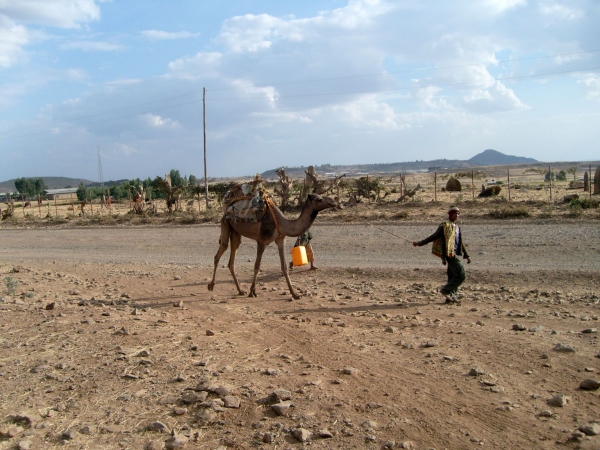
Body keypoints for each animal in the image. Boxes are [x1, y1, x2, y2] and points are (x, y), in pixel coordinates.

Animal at [206, 192, 338, 298]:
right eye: (319, 199)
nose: (333, 202)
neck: (281, 223)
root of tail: (227, 210)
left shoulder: (281, 240)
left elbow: (284, 267)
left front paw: (295, 294)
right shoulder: (261, 241)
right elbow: (257, 266)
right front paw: (252, 292)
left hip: (236, 231)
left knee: (232, 257)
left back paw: (240, 290)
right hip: (225, 223)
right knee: (221, 249)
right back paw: (211, 285)